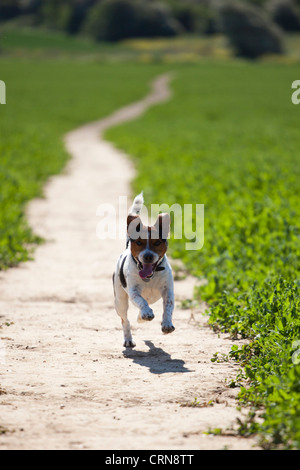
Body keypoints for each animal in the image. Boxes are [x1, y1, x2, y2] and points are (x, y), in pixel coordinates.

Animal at [112, 192, 175, 348]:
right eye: (139, 242)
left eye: (157, 242)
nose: (147, 256)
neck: (150, 276)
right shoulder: (134, 292)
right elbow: (141, 301)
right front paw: (146, 313)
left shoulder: (168, 291)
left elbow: (168, 307)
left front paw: (167, 324)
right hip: (120, 302)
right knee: (125, 320)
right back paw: (129, 339)